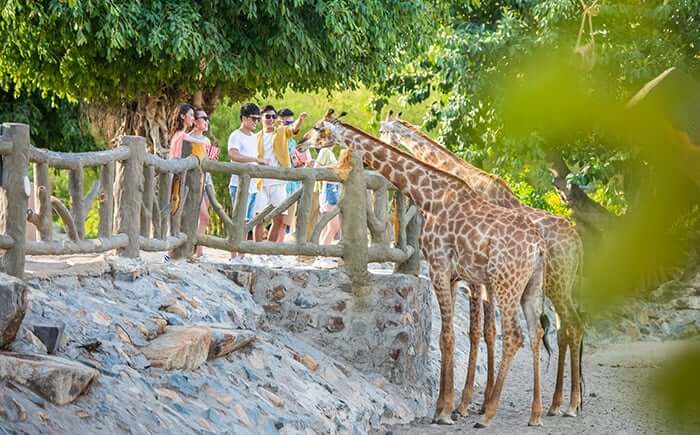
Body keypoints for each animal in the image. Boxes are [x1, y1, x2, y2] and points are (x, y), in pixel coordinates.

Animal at [299, 110, 550, 427]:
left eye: (319, 127)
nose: (301, 142)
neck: (427, 196)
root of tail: (538, 246)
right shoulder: (454, 277)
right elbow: (446, 337)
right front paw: (444, 406)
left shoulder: (439, 269)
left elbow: (447, 336)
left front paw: (446, 411)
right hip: (531, 287)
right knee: (535, 332)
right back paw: (536, 413)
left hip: (506, 283)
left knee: (515, 335)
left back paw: (489, 413)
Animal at [379, 114, 585, 418]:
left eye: (383, 130)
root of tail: (578, 243)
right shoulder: (480, 278)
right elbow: (488, 331)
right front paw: (479, 400)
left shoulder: (474, 277)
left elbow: (479, 331)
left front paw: (464, 404)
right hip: (558, 286)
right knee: (564, 328)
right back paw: (561, 403)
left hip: (556, 284)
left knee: (572, 326)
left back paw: (568, 404)